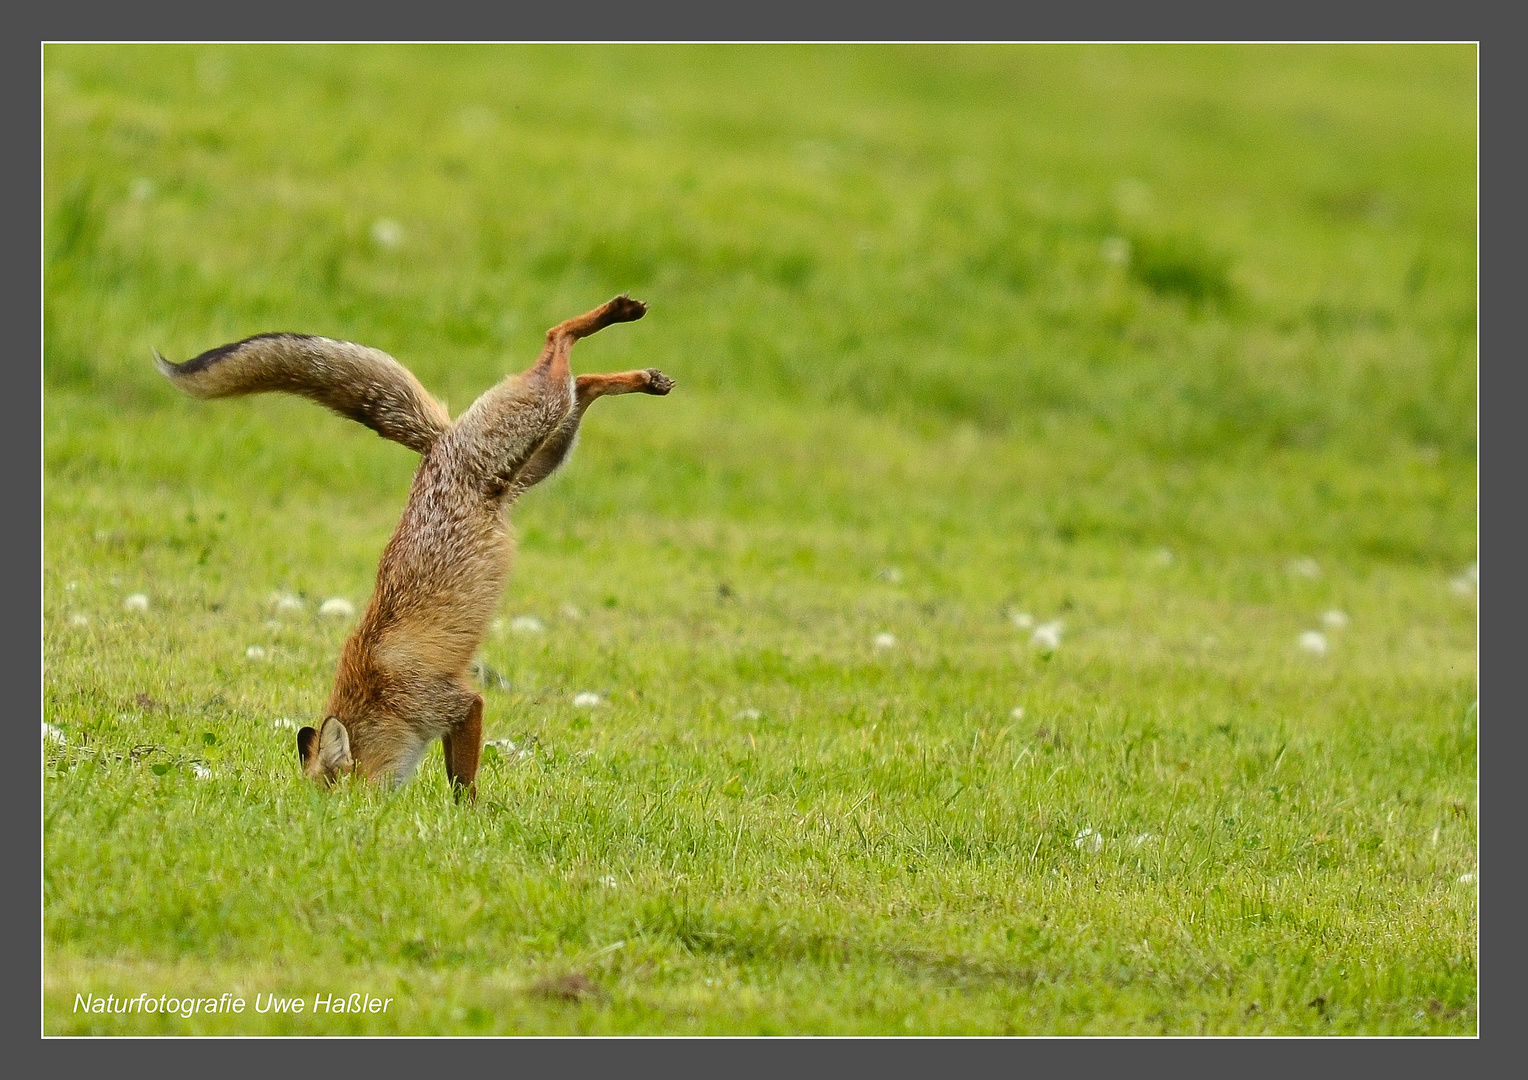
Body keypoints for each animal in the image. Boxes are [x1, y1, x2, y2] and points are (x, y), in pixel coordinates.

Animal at [156, 291, 675, 800]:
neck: (379, 694)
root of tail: (438, 445)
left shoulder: (456, 702)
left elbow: (461, 779)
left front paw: (467, 813)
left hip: (535, 417)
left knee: (557, 340)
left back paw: (622, 318)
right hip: (538, 459)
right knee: (581, 382)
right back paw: (642, 376)